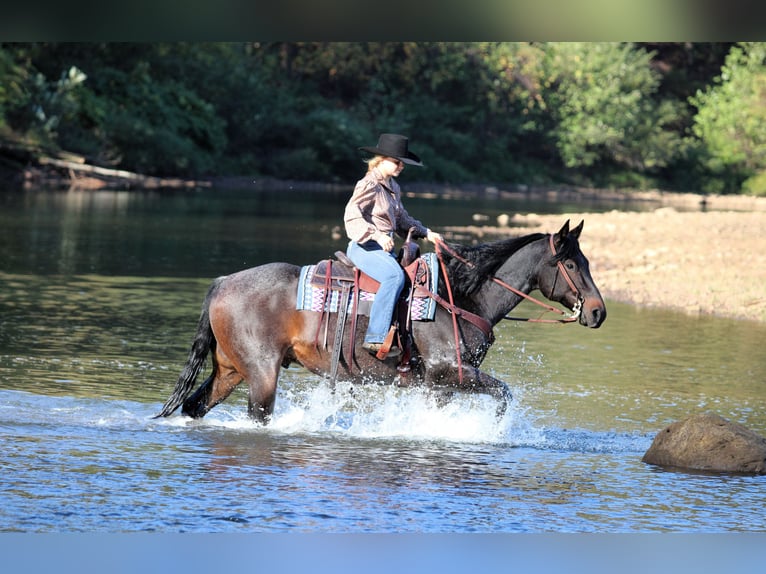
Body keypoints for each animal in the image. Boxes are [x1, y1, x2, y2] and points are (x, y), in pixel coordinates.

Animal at [155, 220, 606, 423]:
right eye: (570, 263)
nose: (598, 311)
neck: (459, 296)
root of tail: (222, 282)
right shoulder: (450, 373)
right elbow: (503, 394)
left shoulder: (438, 385)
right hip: (262, 374)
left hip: (230, 371)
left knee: (195, 406)